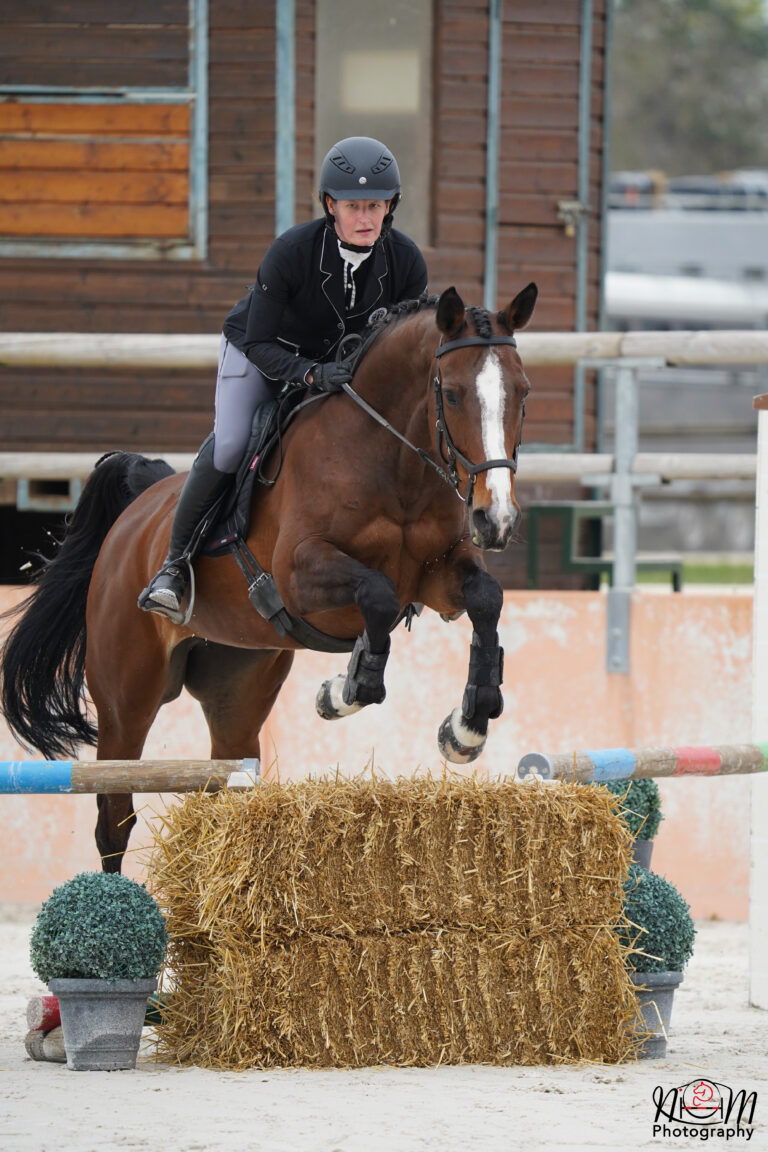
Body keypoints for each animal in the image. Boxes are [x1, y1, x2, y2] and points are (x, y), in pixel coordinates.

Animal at [0, 283, 538, 866]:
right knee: (113, 816)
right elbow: (376, 594)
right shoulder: (299, 575)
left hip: (238, 688)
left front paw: (466, 728)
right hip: (127, 699)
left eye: (523, 392)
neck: (393, 461)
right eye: (455, 395)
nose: (496, 519)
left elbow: (485, 599)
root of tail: (136, 513)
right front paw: (341, 691)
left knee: (223, 781)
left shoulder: (439, 577)